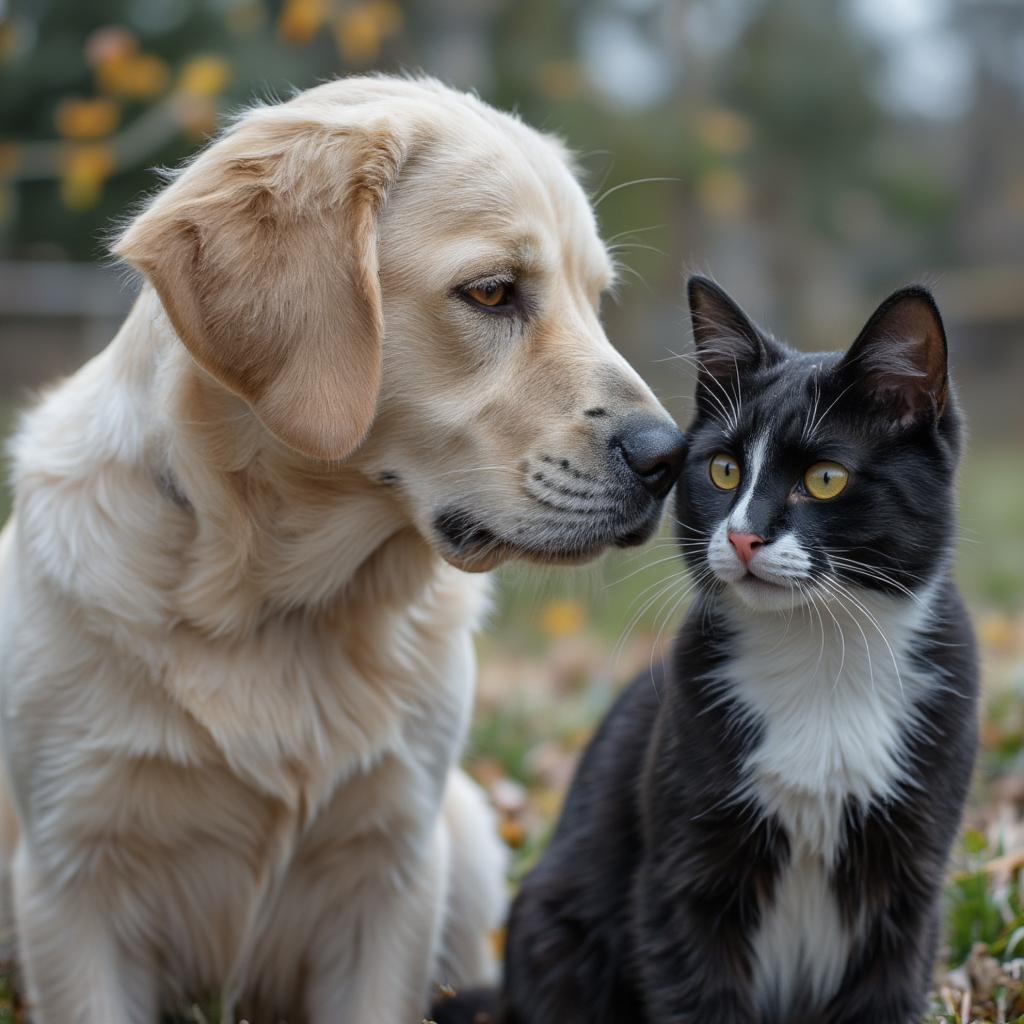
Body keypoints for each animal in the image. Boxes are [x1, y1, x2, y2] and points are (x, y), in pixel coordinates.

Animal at [2, 75, 688, 1019]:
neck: (277, 606)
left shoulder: (391, 876)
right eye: (491, 292)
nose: (670, 459)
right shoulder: (72, 884)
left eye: (597, 300)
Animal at [491, 278, 978, 1024]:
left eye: (826, 478)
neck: (817, 656)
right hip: (554, 927)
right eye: (722, 470)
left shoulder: (910, 882)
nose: (743, 536)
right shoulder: (680, 877)